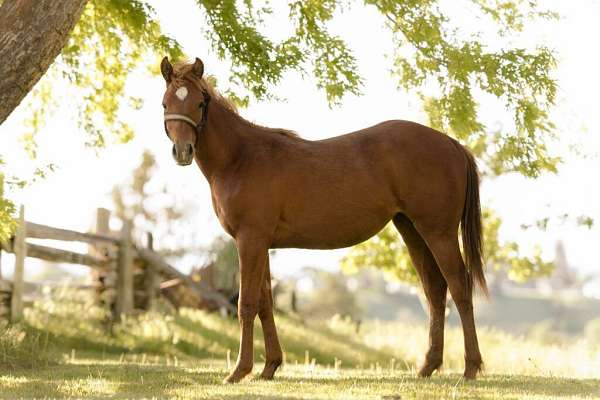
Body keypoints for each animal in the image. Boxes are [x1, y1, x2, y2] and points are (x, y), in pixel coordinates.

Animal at [158, 55, 488, 382]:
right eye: (165, 103)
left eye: (200, 103)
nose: (183, 151)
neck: (241, 158)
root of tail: (452, 144)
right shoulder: (261, 244)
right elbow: (265, 303)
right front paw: (270, 366)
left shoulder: (249, 240)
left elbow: (246, 303)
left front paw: (240, 371)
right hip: (412, 230)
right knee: (435, 290)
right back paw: (428, 366)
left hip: (439, 233)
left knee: (459, 287)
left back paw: (470, 367)